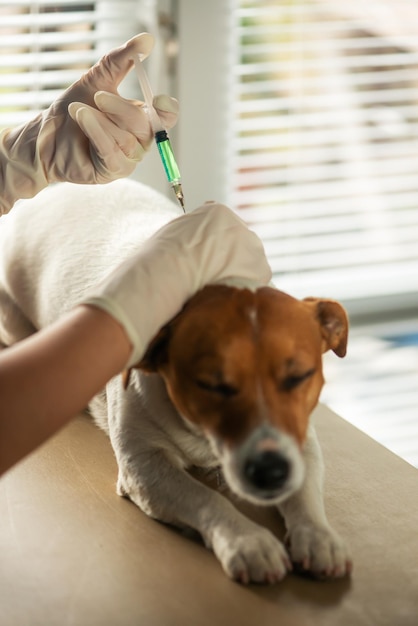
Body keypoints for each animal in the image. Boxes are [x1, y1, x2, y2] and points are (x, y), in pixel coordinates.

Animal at [0, 178, 352, 584]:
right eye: (211, 386)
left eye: (299, 377)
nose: (270, 472)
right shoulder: (143, 464)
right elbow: (205, 497)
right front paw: (248, 540)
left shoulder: (300, 438)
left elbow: (305, 490)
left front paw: (318, 535)